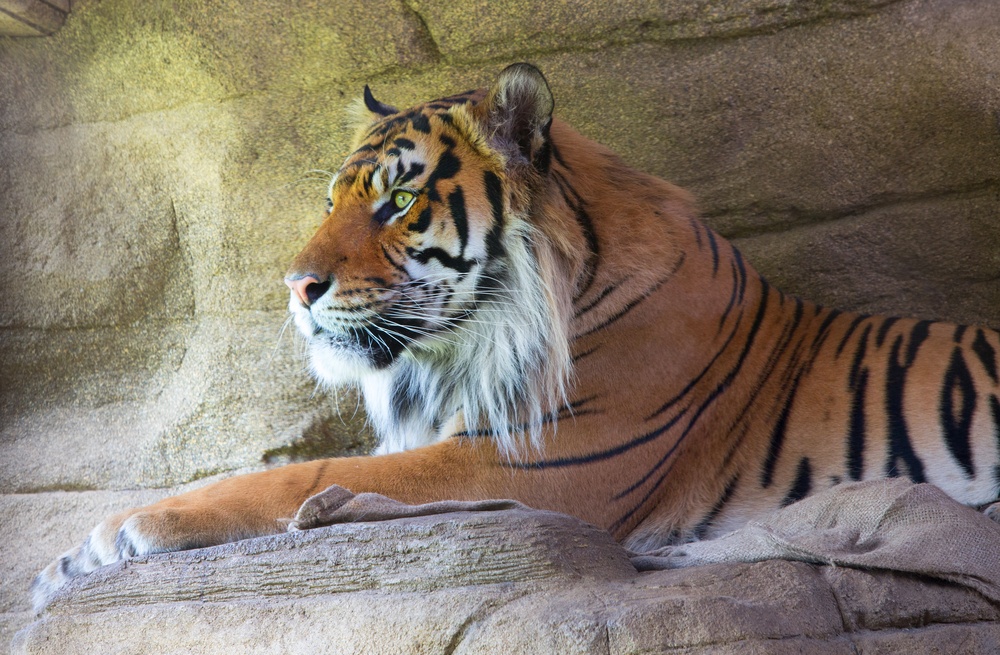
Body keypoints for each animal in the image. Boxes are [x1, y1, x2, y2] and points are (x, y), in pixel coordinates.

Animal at [31, 61, 1000, 608]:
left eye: (399, 198)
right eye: (333, 198)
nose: (295, 287)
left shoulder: (528, 461)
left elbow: (298, 478)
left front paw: (110, 536)